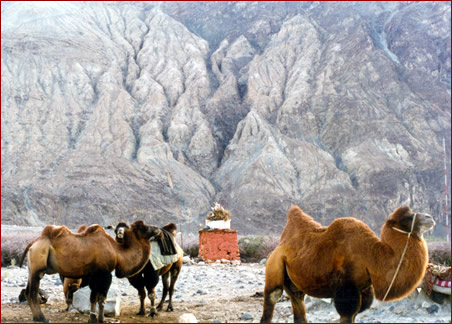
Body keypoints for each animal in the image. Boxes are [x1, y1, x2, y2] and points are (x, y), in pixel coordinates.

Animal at [19, 219, 161, 322]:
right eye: (144, 227)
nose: (158, 229)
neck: (117, 252)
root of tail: (33, 243)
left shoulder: (94, 274)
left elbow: (93, 297)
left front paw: (92, 318)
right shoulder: (105, 274)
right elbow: (102, 298)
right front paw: (101, 319)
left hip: (32, 267)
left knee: (28, 291)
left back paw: (36, 317)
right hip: (38, 263)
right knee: (33, 291)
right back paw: (42, 318)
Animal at [260, 206, 436, 322]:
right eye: (408, 217)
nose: (430, 217)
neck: (372, 255)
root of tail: (280, 245)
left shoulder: (364, 289)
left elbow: (357, 312)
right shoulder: (347, 287)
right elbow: (348, 312)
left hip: (294, 279)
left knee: (297, 298)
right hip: (274, 263)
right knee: (273, 295)